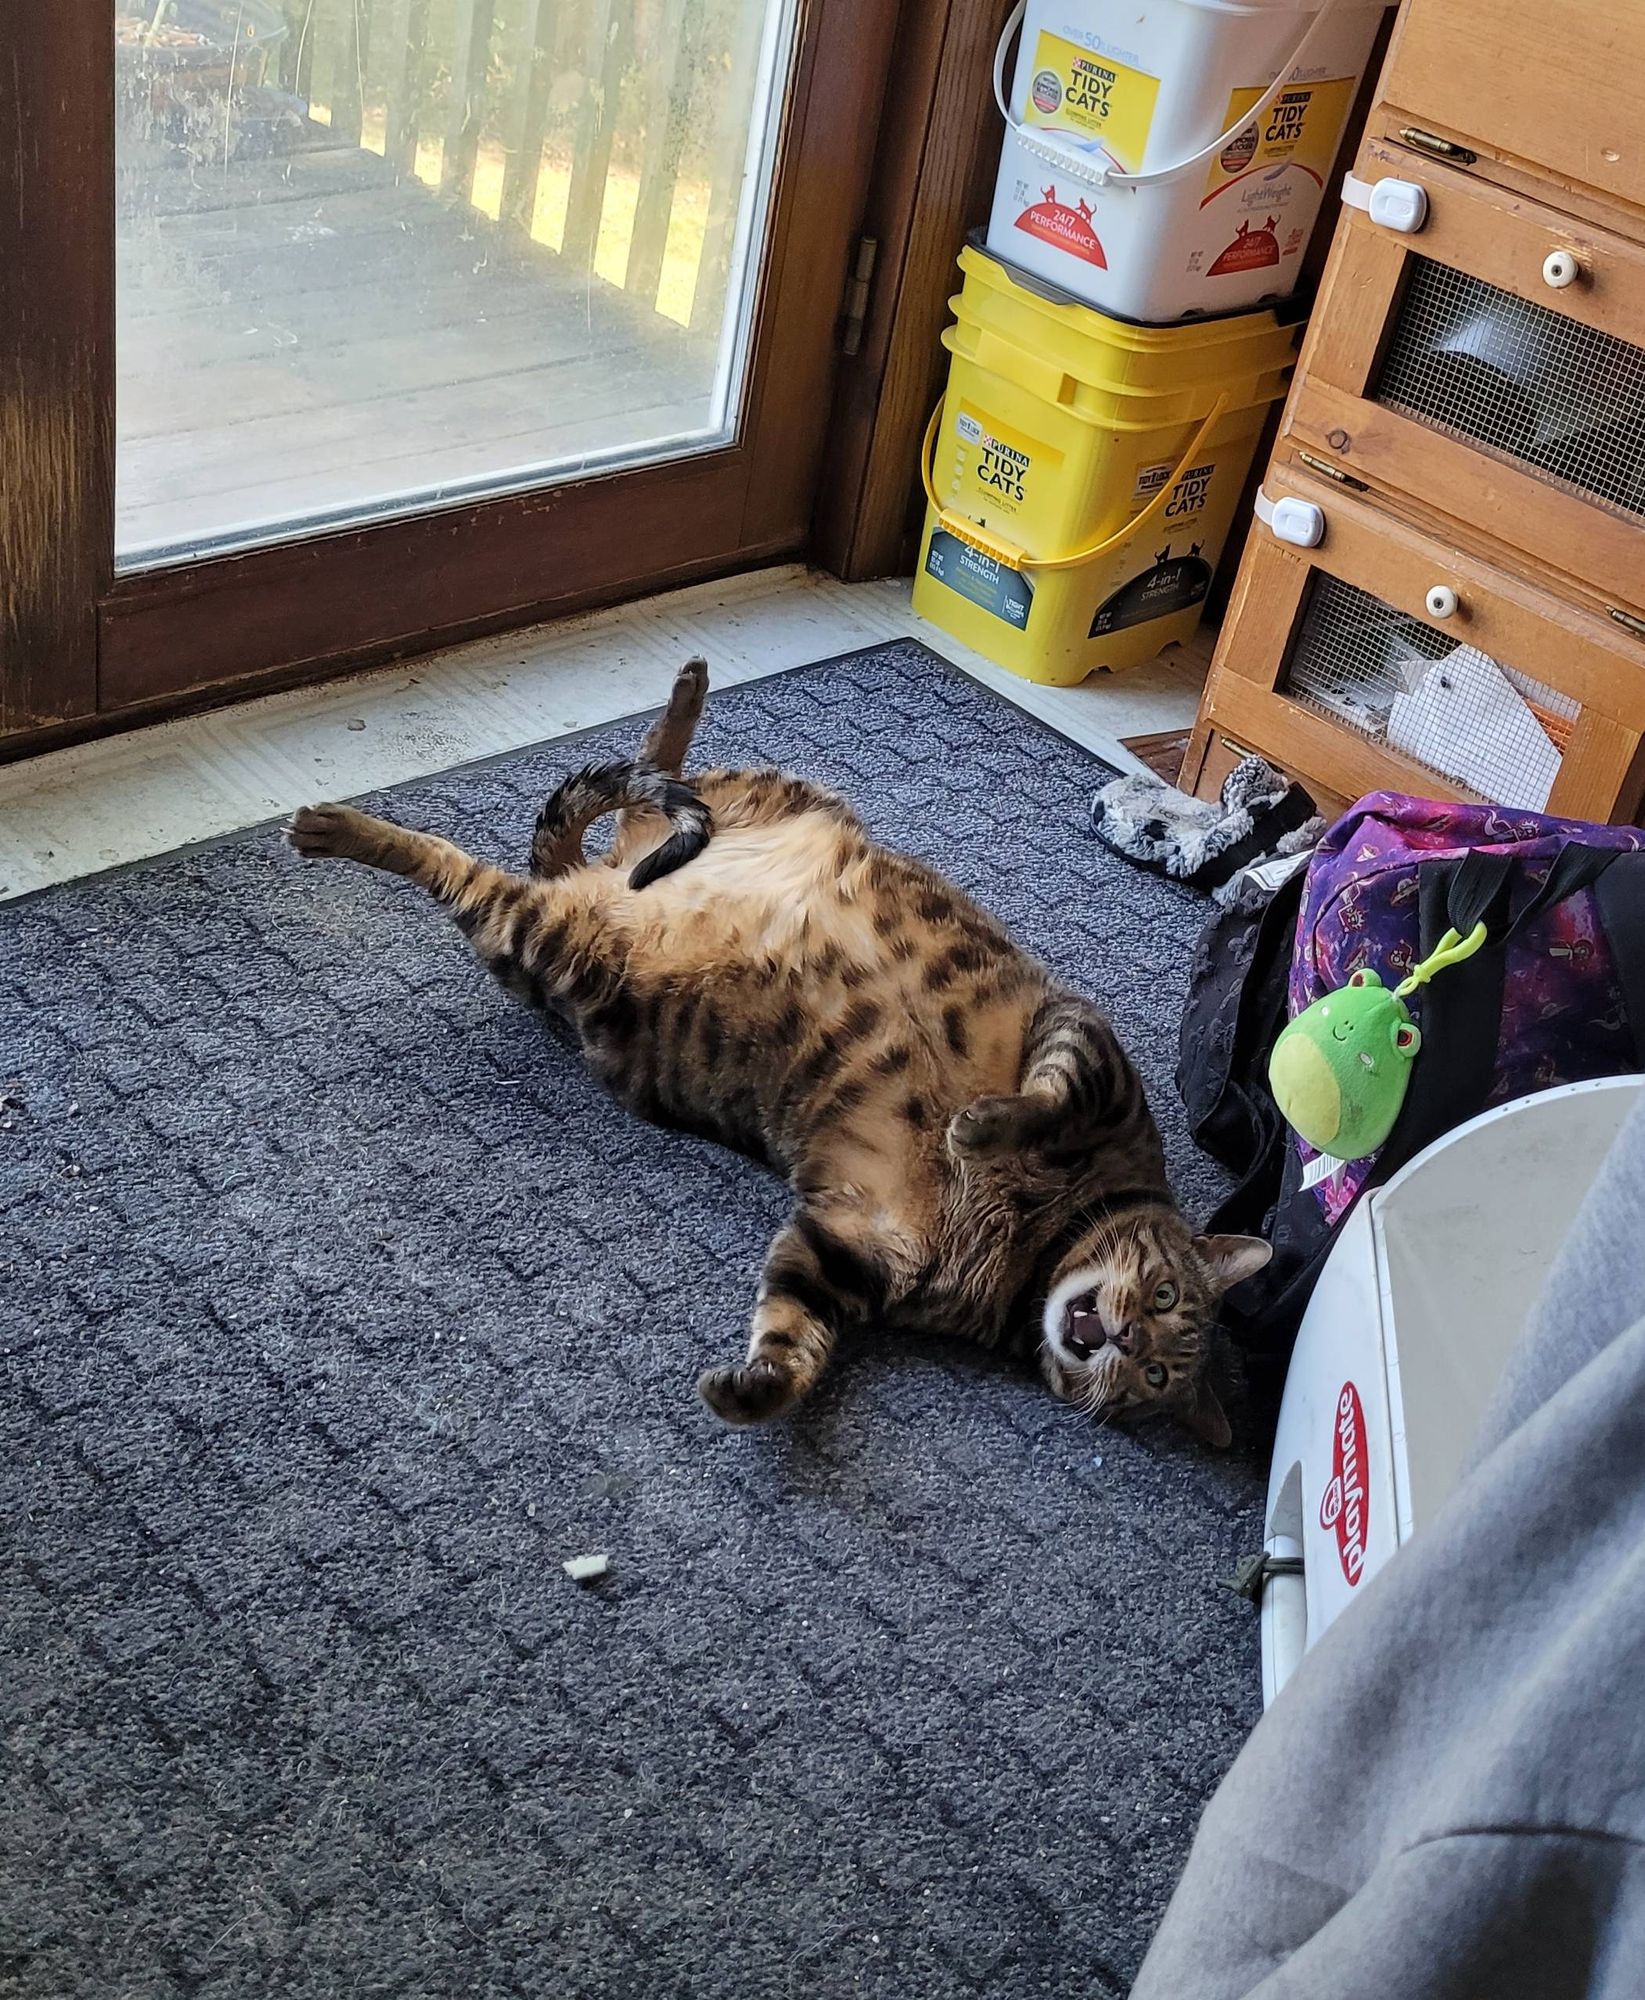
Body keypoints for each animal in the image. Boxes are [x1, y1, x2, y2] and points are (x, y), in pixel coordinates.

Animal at [290, 664, 1272, 1448]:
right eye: (1164, 1298)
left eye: (1157, 1374)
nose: (1122, 1339)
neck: (1034, 1241)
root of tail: (592, 887)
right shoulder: (1089, 1048)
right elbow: (1041, 1098)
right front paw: (977, 1128)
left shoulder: (849, 1248)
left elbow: (791, 1331)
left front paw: (752, 1389)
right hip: (710, 826)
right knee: (617, 791)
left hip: (554, 944)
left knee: (591, 820)